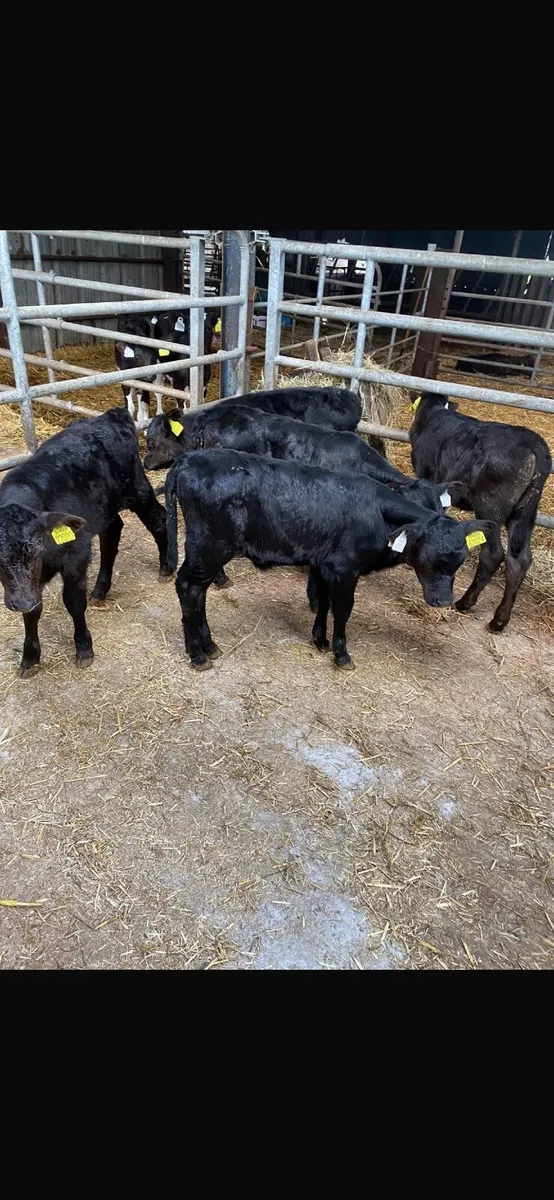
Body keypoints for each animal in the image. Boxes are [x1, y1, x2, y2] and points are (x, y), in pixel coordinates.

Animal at [0, 408, 171, 678]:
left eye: (36, 549)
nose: (22, 601)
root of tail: (108, 416)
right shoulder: (28, 585)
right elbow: (33, 612)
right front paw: (30, 658)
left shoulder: (76, 555)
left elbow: (73, 601)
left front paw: (83, 648)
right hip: (103, 509)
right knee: (112, 534)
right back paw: (100, 589)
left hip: (137, 490)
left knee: (159, 520)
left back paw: (166, 567)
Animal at [164, 449, 494, 671]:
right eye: (428, 555)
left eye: (459, 559)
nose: (444, 601)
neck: (377, 512)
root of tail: (189, 459)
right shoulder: (345, 569)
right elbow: (342, 610)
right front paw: (342, 654)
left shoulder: (322, 566)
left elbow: (323, 602)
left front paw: (320, 640)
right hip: (208, 548)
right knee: (188, 588)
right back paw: (197, 654)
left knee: (198, 592)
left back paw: (209, 645)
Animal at [409, 392, 552, 631]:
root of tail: (534, 443)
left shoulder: (427, 474)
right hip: (524, 512)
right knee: (520, 559)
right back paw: (499, 619)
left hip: (490, 507)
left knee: (493, 554)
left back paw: (465, 602)